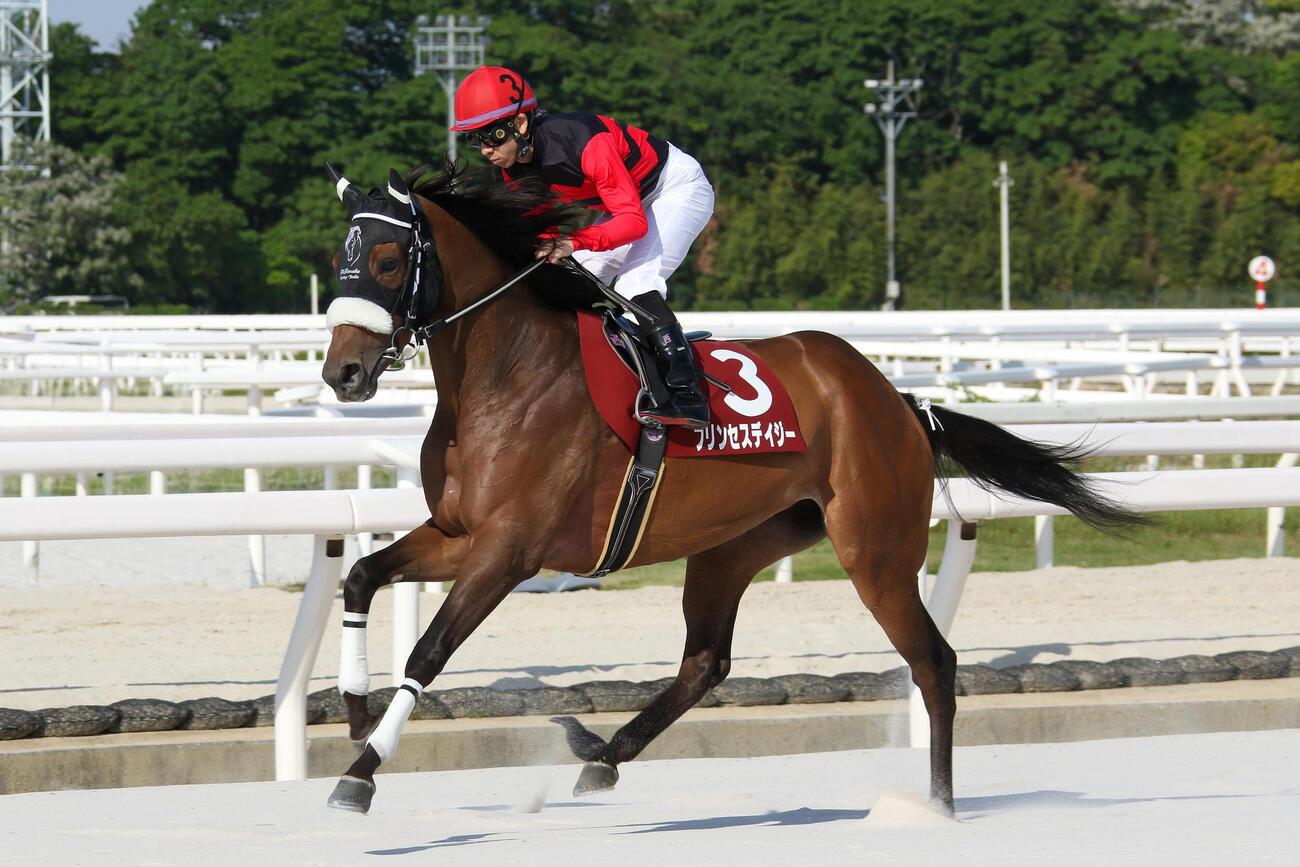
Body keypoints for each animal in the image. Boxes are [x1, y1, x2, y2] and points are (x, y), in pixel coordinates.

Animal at [318, 161, 1139, 816]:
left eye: (388, 258)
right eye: (340, 258)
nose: (343, 372)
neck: (509, 371)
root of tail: (899, 400)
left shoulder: (510, 550)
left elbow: (428, 651)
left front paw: (360, 773)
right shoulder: (460, 533)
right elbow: (360, 576)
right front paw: (356, 711)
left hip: (875, 548)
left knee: (933, 661)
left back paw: (937, 806)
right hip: (733, 545)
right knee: (705, 662)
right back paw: (602, 757)